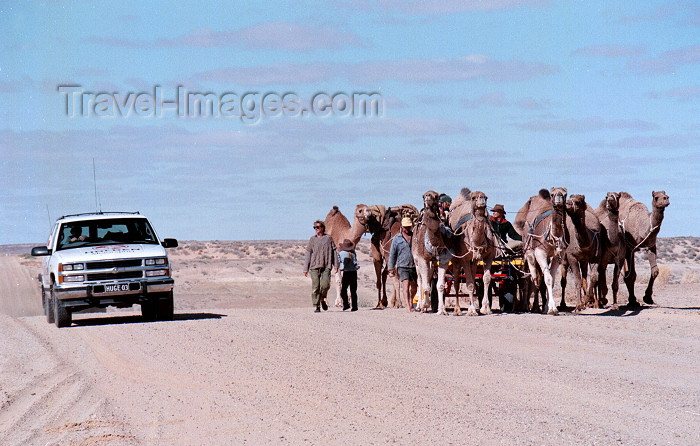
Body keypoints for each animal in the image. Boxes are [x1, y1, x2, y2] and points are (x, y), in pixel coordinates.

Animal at [516, 186, 568, 316]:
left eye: (565, 194)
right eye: (553, 194)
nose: (559, 198)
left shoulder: (558, 255)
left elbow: (551, 280)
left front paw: (547, 307)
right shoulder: (540, 252)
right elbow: (547, 279)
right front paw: (552, 308)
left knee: (536, 279)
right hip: (529, 253)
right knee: (532, 279)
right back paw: (528, 307)